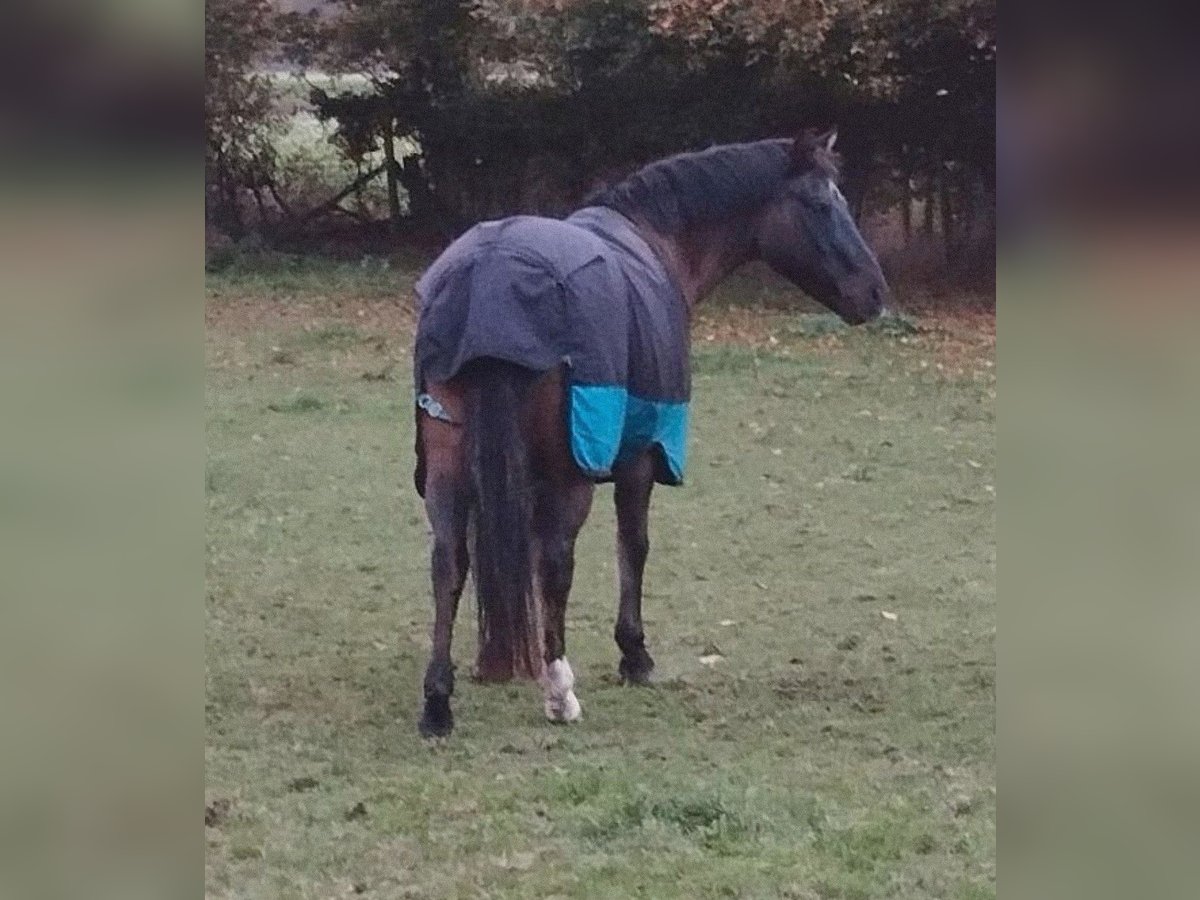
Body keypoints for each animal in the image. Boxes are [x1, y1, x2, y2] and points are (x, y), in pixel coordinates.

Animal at [412, 130, 892, 734]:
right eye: (821, 204)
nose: (875, 293)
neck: (657, 239)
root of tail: (489, 282)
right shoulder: (643, 453)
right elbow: (633, 546)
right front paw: (634, 654)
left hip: (447, 461)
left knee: (448, 562)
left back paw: (438, 701)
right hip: (569, 471)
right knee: (554, 562)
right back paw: (560, 693)